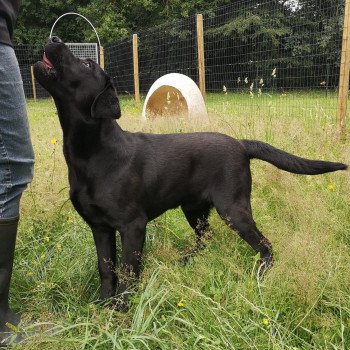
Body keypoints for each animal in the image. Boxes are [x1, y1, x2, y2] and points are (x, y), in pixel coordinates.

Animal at [34, 37, 346, 308]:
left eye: (87, 64)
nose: (55, 38)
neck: (92, 153)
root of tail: (241, 143)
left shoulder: (133, 225)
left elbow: (127, 270)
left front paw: (121, 309)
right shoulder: (99, 228)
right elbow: (105, 268)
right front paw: (101, 305)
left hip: (233, 208)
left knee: (264, 243)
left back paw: (262, 272)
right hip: (194, 208)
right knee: (206, 238)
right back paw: (187, 260)